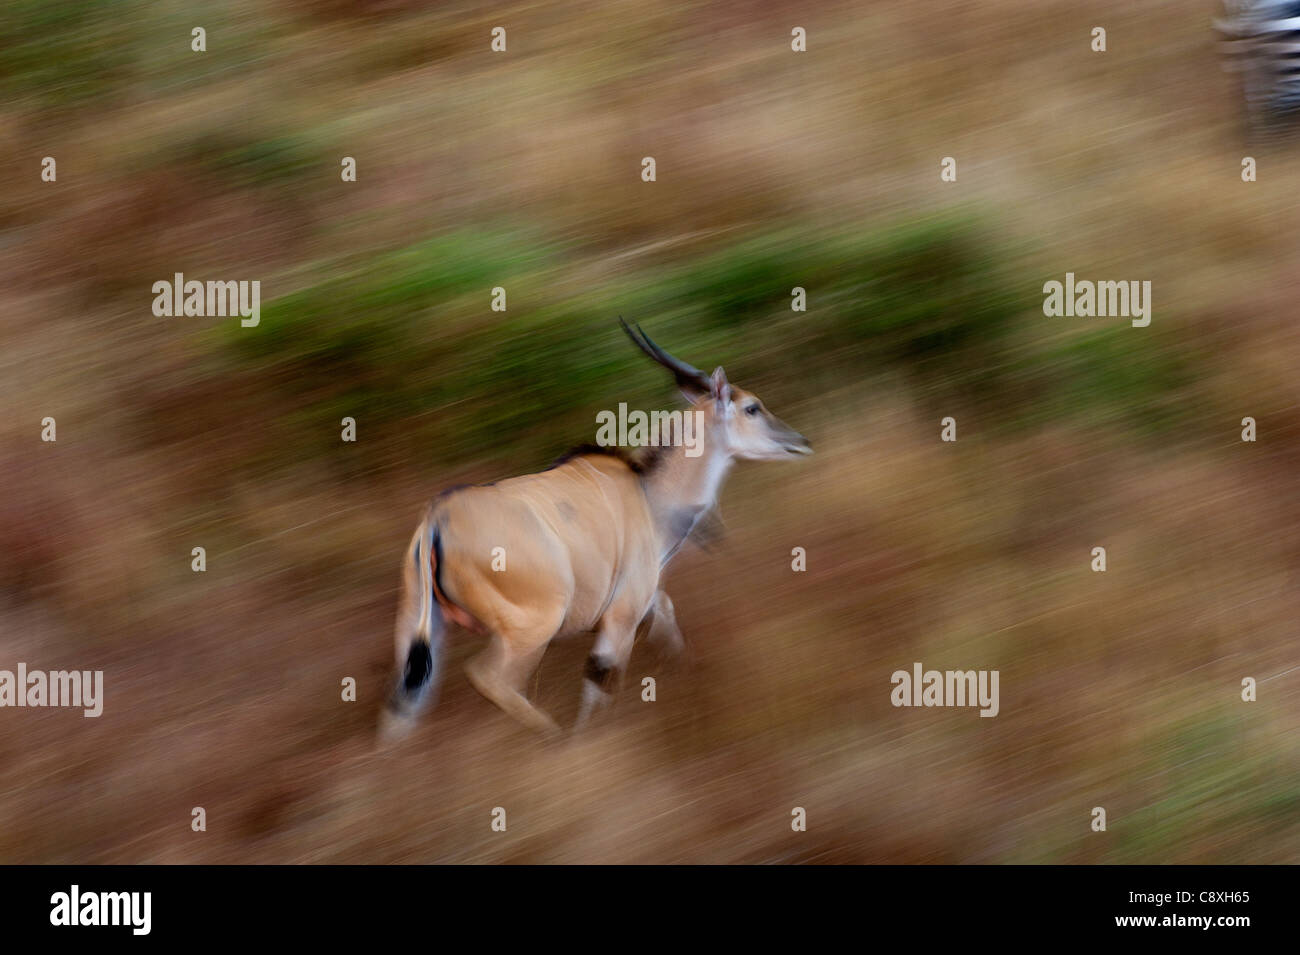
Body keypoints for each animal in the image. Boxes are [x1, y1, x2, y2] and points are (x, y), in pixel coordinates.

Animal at [379, 320, 811, 738]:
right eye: (752, 408)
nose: (800, 441)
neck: (648, 496)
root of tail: (438, 519)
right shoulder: (621, 617)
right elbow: (600, 682)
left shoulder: (645, 603)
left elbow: (667, 622)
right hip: (532, 628)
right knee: (490, 678)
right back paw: (553, 738)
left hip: (419, 629)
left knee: (403, 707)